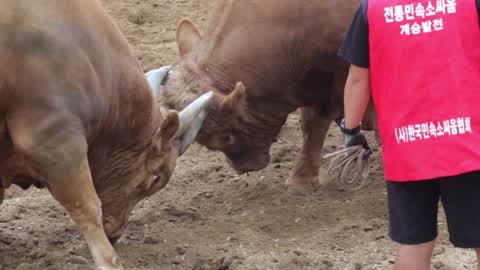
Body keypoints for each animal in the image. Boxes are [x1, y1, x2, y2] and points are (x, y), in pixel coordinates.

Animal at [156, 0, 376, 194]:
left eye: (227, 136)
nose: (244, 168)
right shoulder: (311, 79)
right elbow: (310, 123)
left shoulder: (341, 71)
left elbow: (320, 120)